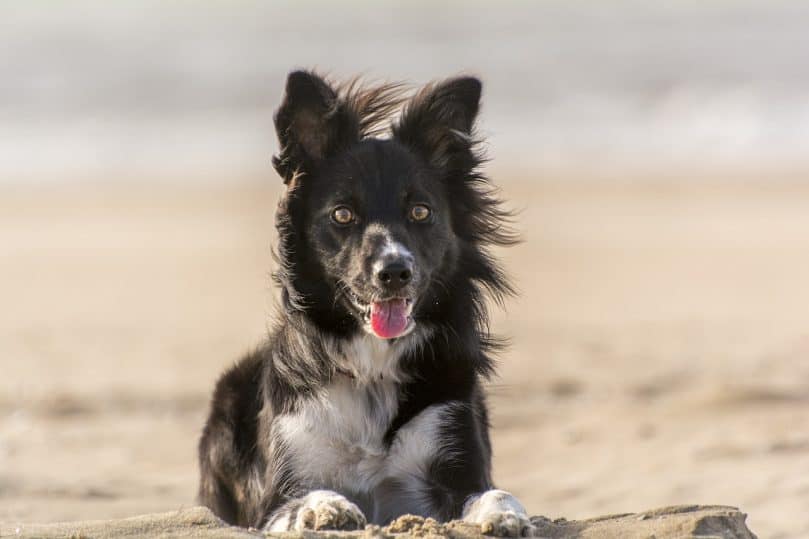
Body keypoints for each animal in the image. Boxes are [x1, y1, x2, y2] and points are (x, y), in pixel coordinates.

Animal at [197, 70, 532, 536]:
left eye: (420, 212)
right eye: (342, 214)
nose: (394, 271)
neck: (373, 367)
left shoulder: (455, 458)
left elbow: (492, 492)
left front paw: (505, 514)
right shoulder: (276, 493)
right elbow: (299, 500)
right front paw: (323, 509)